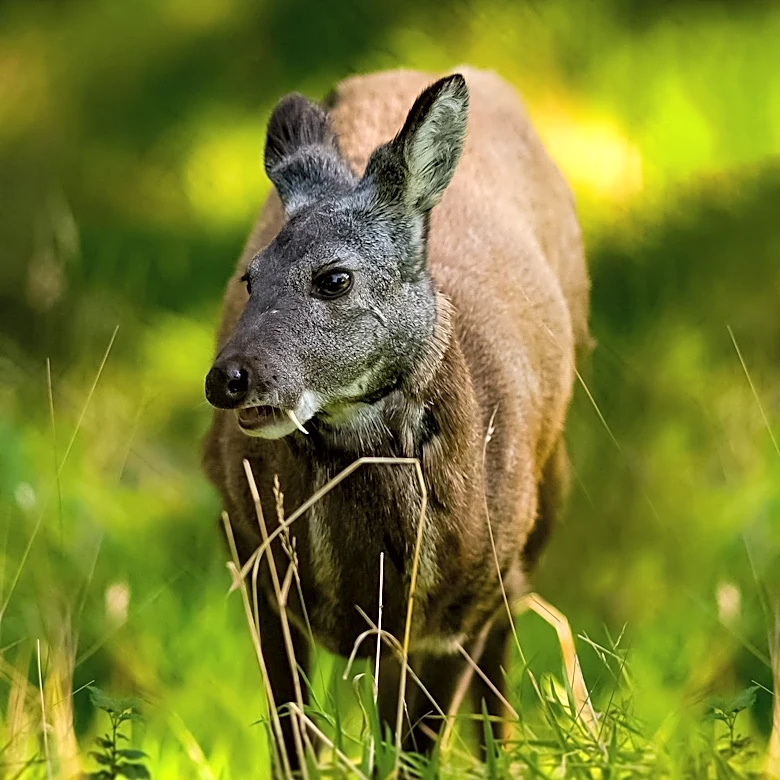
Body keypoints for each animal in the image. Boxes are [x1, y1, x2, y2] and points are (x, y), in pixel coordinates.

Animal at [202, 66, 593, 774]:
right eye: (251, 278)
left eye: (334, 278)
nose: (229, 378)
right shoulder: (250, 551)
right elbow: (292, 738)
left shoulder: (461, 608)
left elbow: (412, 752)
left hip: (543, 505)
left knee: (499, 665)